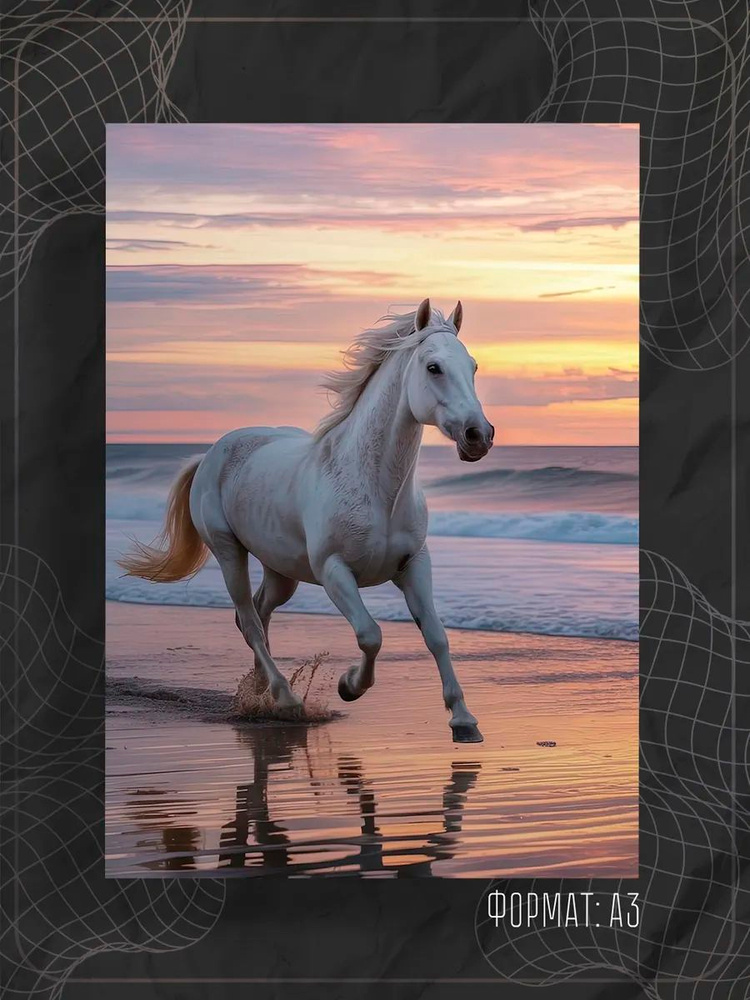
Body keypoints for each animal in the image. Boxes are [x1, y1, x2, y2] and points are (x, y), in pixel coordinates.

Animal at [119, 298, 495, 742]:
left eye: (472, 366)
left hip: (282, 572)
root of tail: (211, 453)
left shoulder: (414, 564)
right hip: (229, 552)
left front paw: (464, 719)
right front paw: (349, 686)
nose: (479, 436)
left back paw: (260, 691)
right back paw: (285, 698)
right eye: (433, 367)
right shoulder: (334, 571)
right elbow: (370, 634)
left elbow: (437, 637)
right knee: (249, 620)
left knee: (259, 613)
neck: (374, 488)